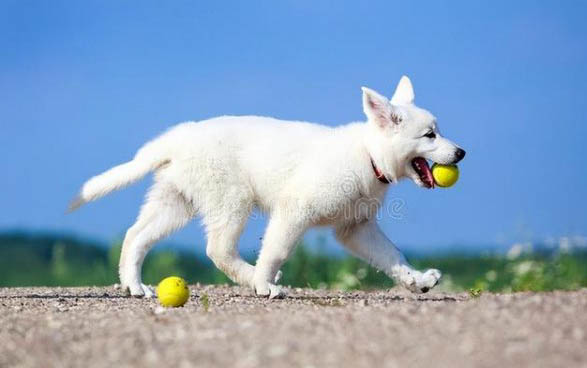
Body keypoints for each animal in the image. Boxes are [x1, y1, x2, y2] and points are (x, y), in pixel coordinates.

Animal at [69, 76, 466, 298]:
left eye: (439, 131)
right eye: (430, 136)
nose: (462, 153)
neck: (367, 154)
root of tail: (177, 137)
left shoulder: (356, 228)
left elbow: (392, 255)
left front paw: (417, 281)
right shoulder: (295, 210)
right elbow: (275, 250)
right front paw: (263, 283)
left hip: (175, 202)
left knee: (136, 236)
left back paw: (133, 285)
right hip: (232, 199)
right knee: (218, 250)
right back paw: (253, 279)